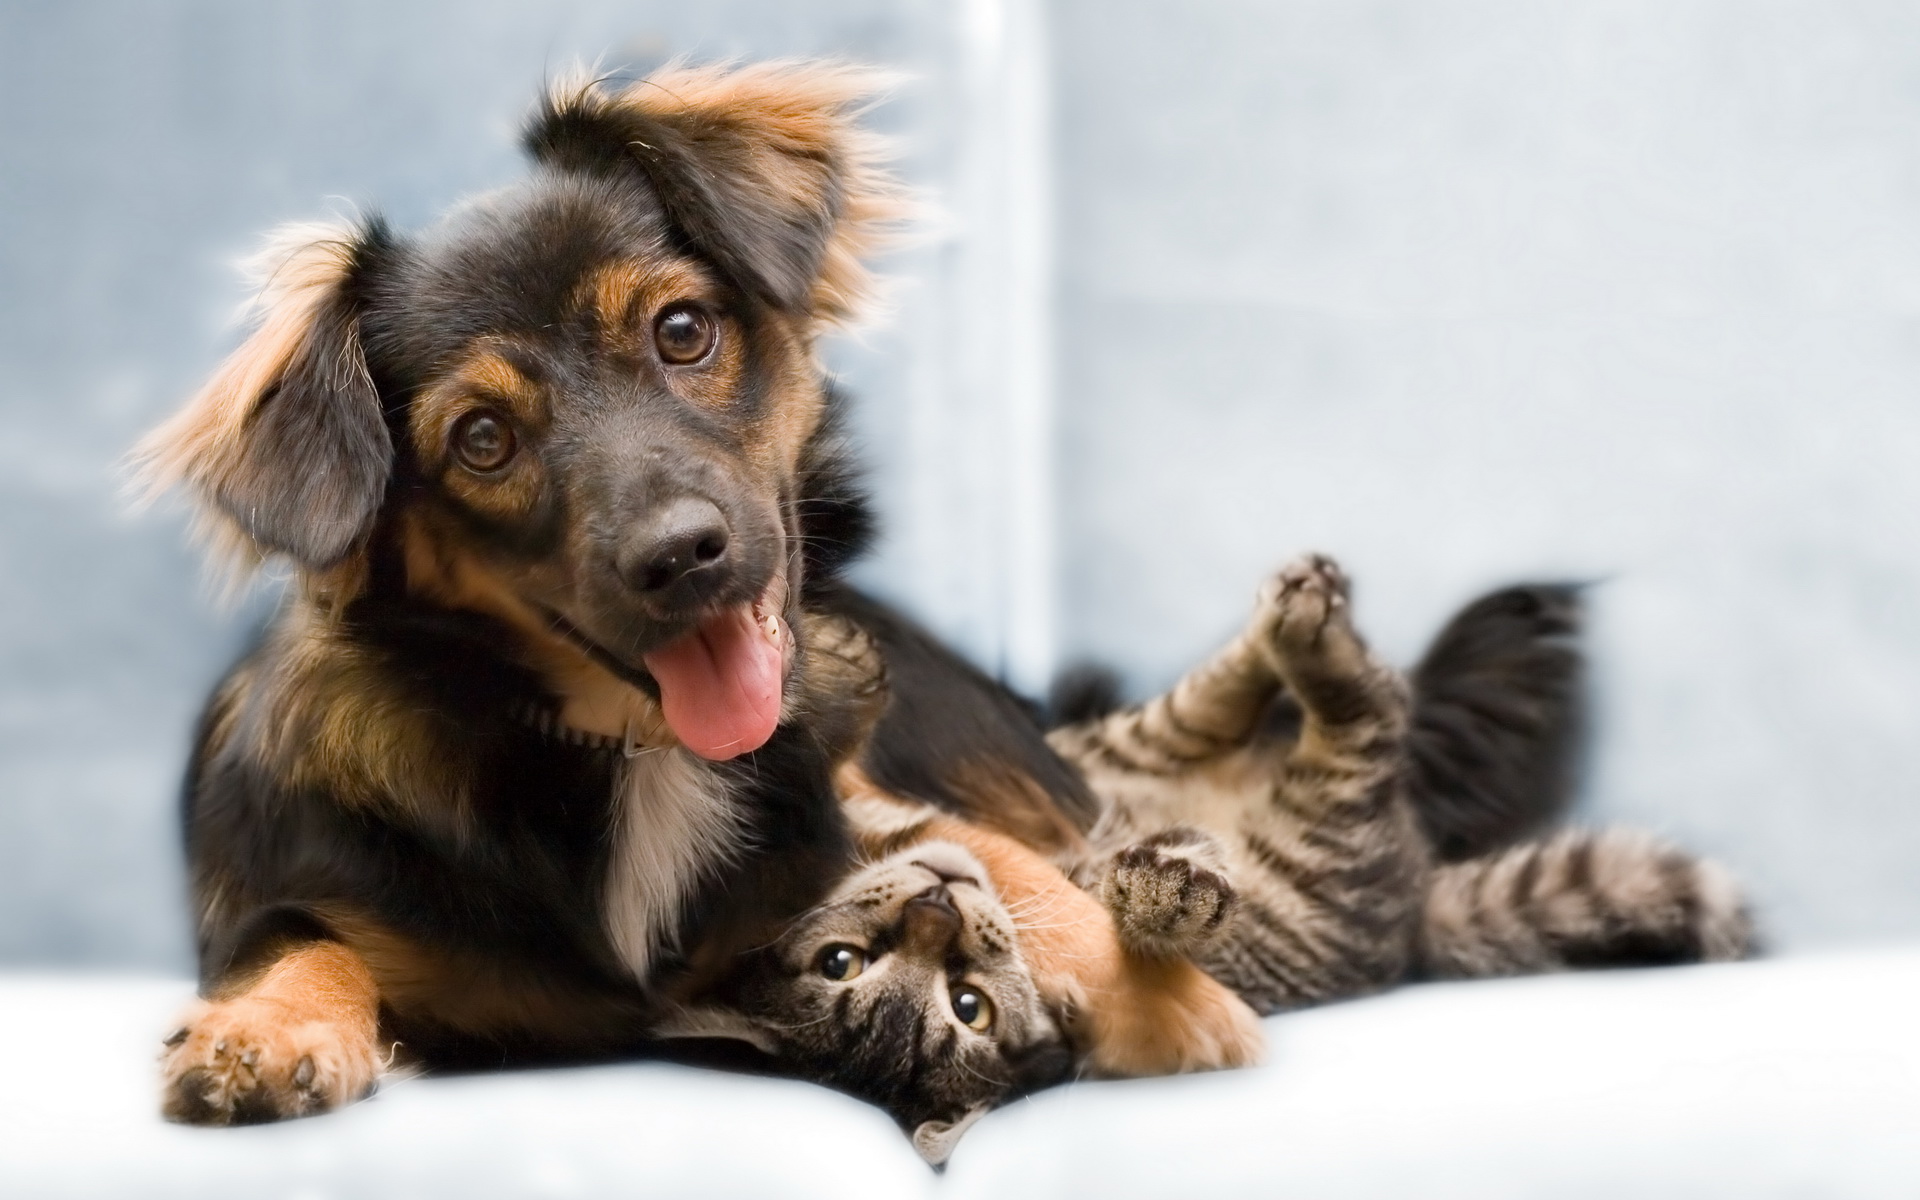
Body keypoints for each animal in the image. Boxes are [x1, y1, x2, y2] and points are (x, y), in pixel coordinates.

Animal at [135, 60, 1105, 1121]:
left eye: (681, 330)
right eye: (482, 439)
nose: (679, 556)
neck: (640, 750)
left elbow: (1005, 872)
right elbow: (300, 937)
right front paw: (267, 1030)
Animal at [664, 552, 1758, 1159]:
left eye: (843, 960)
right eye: (961, 1007)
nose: (932, 908)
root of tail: (1412, 909)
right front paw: (1167, 890)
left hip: (1118, 749)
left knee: (1210, 704)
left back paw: (1291, 611)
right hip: (1323, 835)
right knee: (1364, 716)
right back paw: (1309, 641)